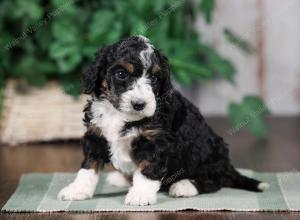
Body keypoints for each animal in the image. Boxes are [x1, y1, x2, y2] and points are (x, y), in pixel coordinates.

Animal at [57, 35, 268, 205]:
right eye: (121, 74)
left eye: (155, 78)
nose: (139, 104)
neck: (121, 115)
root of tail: (227, 166)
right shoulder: (96, 135)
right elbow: (88, 167)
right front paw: (77, 190)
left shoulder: (155, 141)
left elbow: (147, 168)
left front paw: (140, 195)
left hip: (209, 156)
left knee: (213, 180)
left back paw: (183, 186)